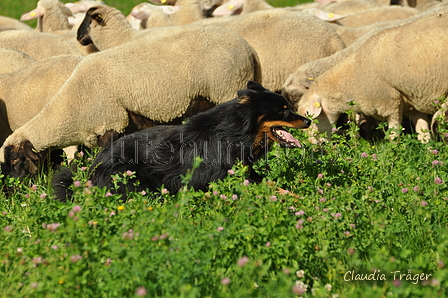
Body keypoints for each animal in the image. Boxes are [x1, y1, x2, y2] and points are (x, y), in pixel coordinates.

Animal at [298, 8, 448, 144]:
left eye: (308, 115)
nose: (313, 144)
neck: (353, 78)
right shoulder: (414, 102)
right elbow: (423, 134)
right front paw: (430, 152)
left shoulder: (390, 102)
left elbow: (394, 136)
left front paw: (393, 152)